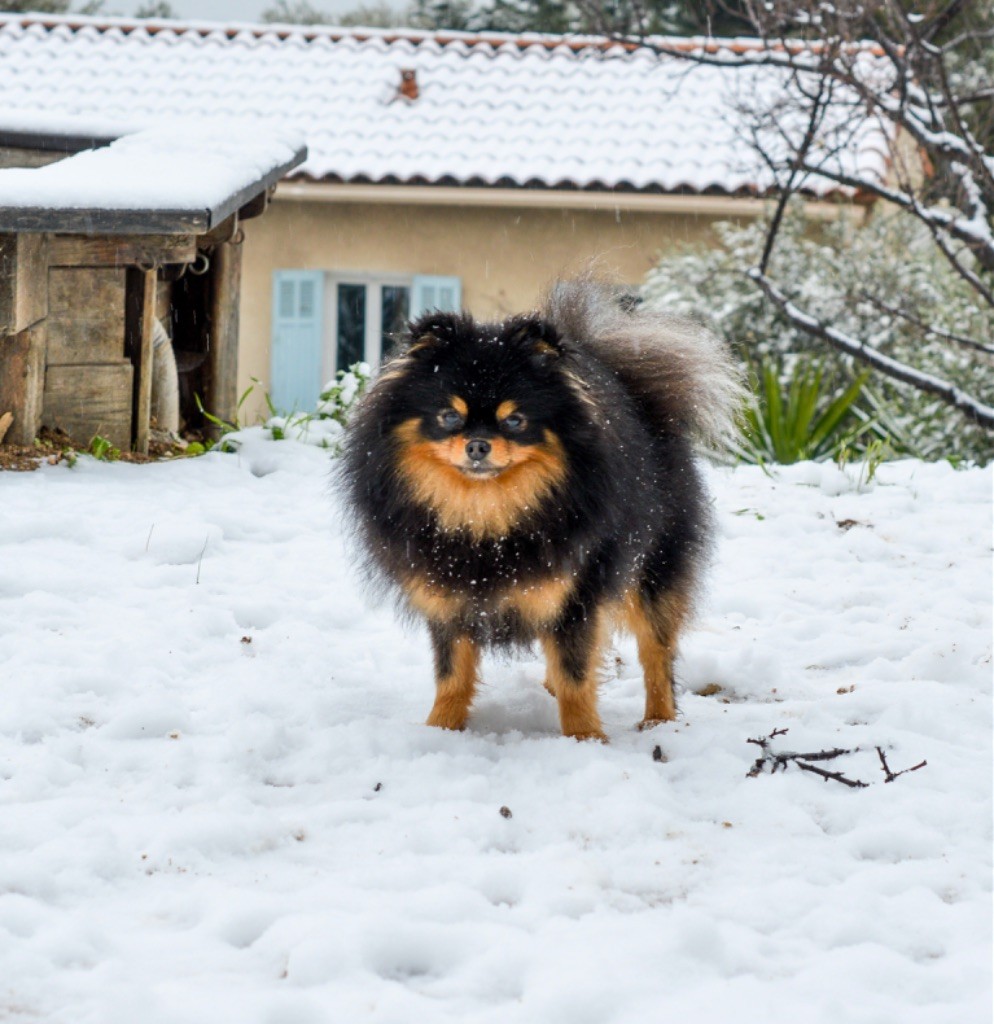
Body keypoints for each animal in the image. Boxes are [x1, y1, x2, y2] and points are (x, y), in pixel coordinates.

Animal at [341, 280, 737, 741]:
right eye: (449, 417)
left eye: (514, 421)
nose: (478, 445)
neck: (484, 516)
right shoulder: (448, 597)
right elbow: (452, 674)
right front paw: (440, 731)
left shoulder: (572, 597)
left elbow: (576, 677)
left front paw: (585, 739)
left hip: (653, 570)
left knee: (656, 652)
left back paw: (659, 721)